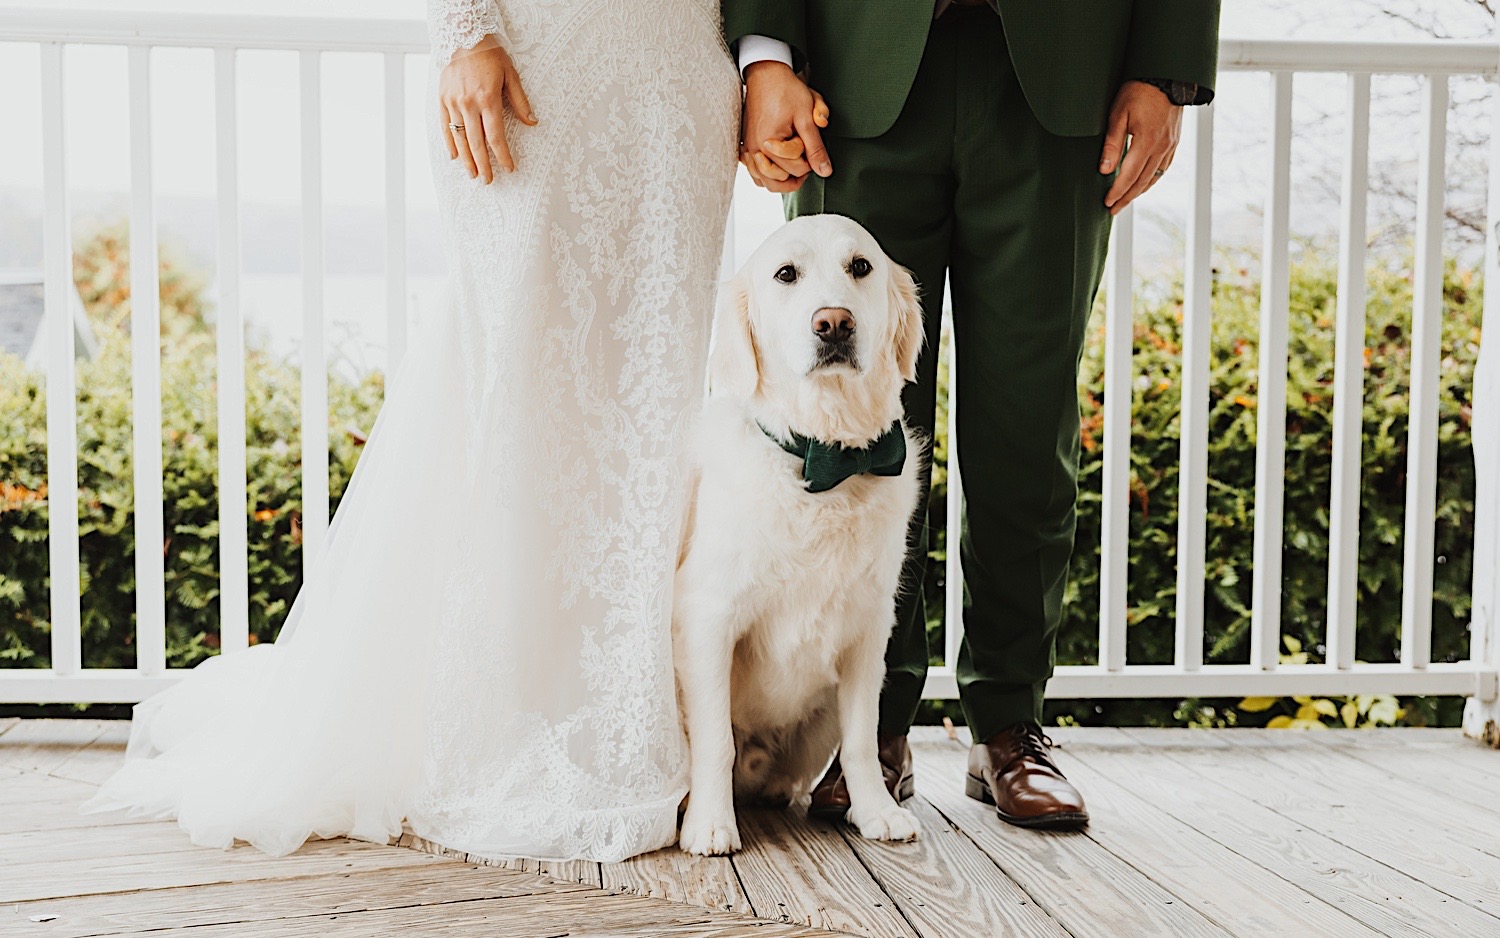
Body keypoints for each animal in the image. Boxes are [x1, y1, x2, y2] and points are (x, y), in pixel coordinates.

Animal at [672, 214, 924, 858]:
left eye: (860, 267)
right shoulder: (708, 617)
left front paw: (877, 811)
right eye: (786, 274)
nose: (833, 322)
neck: (823, 461)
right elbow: (715, 739)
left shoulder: (868, 632)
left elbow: (862, 740)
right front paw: (711, 823)